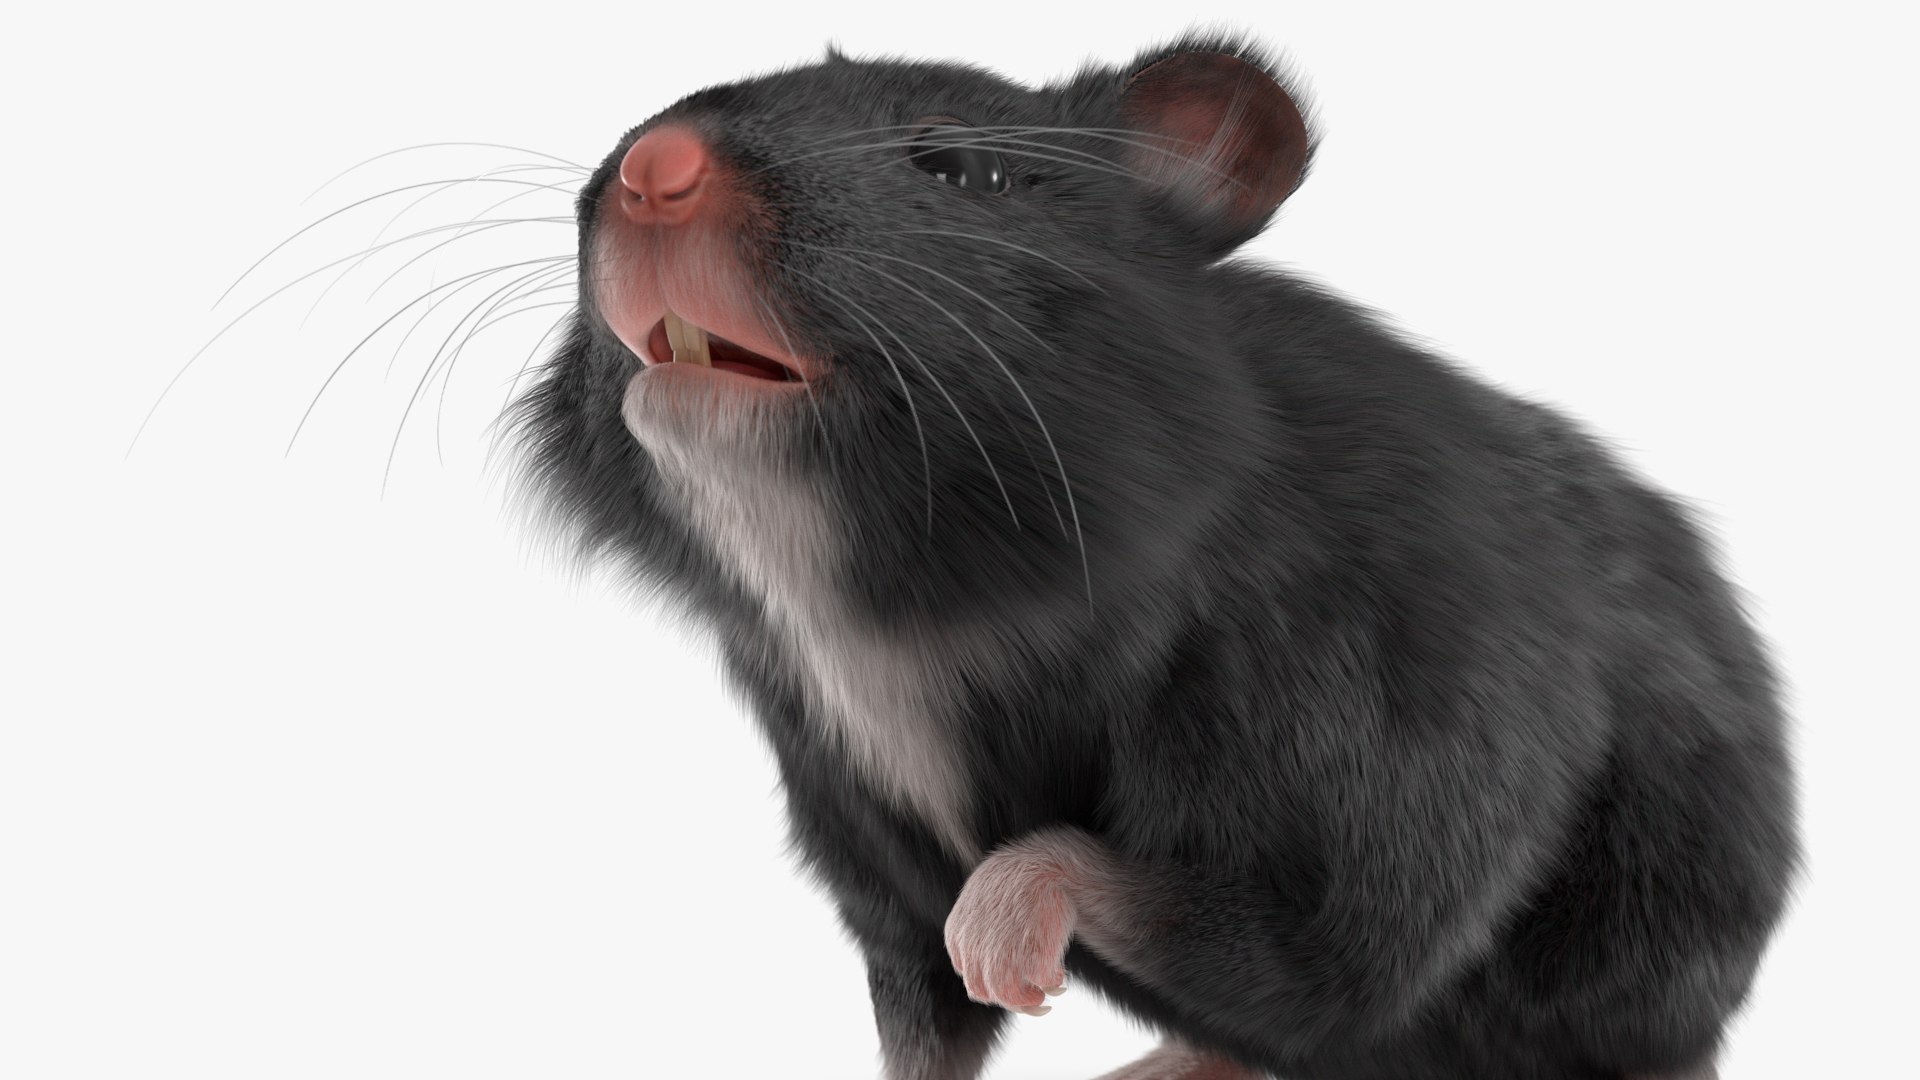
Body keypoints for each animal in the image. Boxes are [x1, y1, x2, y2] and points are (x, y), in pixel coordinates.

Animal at [505, 32, 1797, 1080]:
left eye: (960, 170)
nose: (654, 168)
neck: (916, 599)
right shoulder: (841, 795)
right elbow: (922, 1018)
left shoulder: (1365, 702)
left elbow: (1324, 935)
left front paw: (1009, 921)